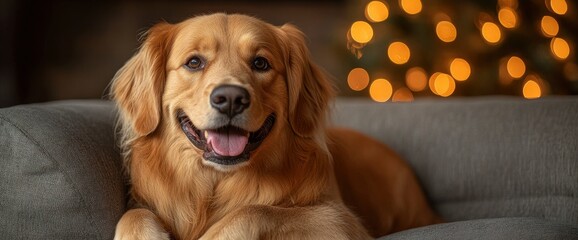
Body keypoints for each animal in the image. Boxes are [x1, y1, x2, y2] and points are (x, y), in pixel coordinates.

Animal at [110, 13, 438, 240]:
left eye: (260, 63)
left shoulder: (340, 220)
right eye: (193, 62)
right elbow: (134, 214)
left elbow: (256, 209)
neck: (217, 184)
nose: (231, 99)